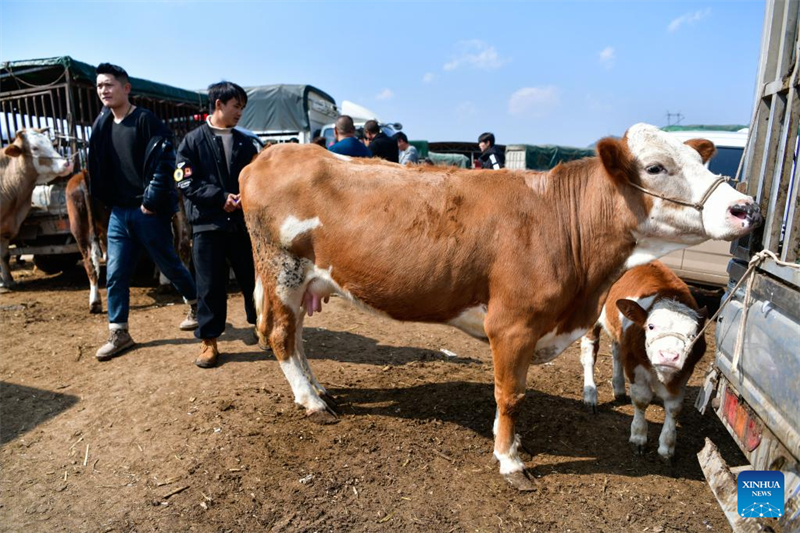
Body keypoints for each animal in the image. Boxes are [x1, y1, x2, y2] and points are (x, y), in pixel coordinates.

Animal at [0, 128, 73, 286]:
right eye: (34, 148)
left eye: (50, 143)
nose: (67, 163)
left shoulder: (6, 229)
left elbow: (3, 255)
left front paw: (8, 281)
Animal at [580, 260, 708, 460]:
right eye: (651, 326)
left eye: (693, 335)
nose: (669, 357)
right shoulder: (635, 363)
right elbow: (641, 399)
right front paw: (638, 437)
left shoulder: (685, 371)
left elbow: (675, 407)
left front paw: (667, 446)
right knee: (589, 352)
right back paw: (590, 394)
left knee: (617, 351)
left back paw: (618, 387)